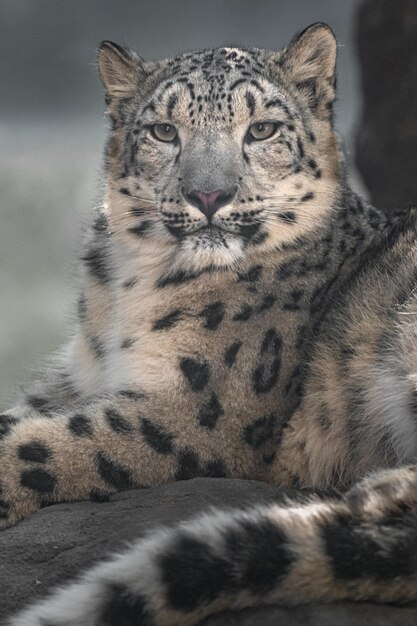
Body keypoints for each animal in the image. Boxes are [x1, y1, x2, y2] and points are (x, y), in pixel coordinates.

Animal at [4, 22, 417, 624]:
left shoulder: (198, 410)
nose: (209, 195)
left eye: (263, 129)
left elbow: (46, 446)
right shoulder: (71, 380)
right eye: (164, 131)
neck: (128, 288)